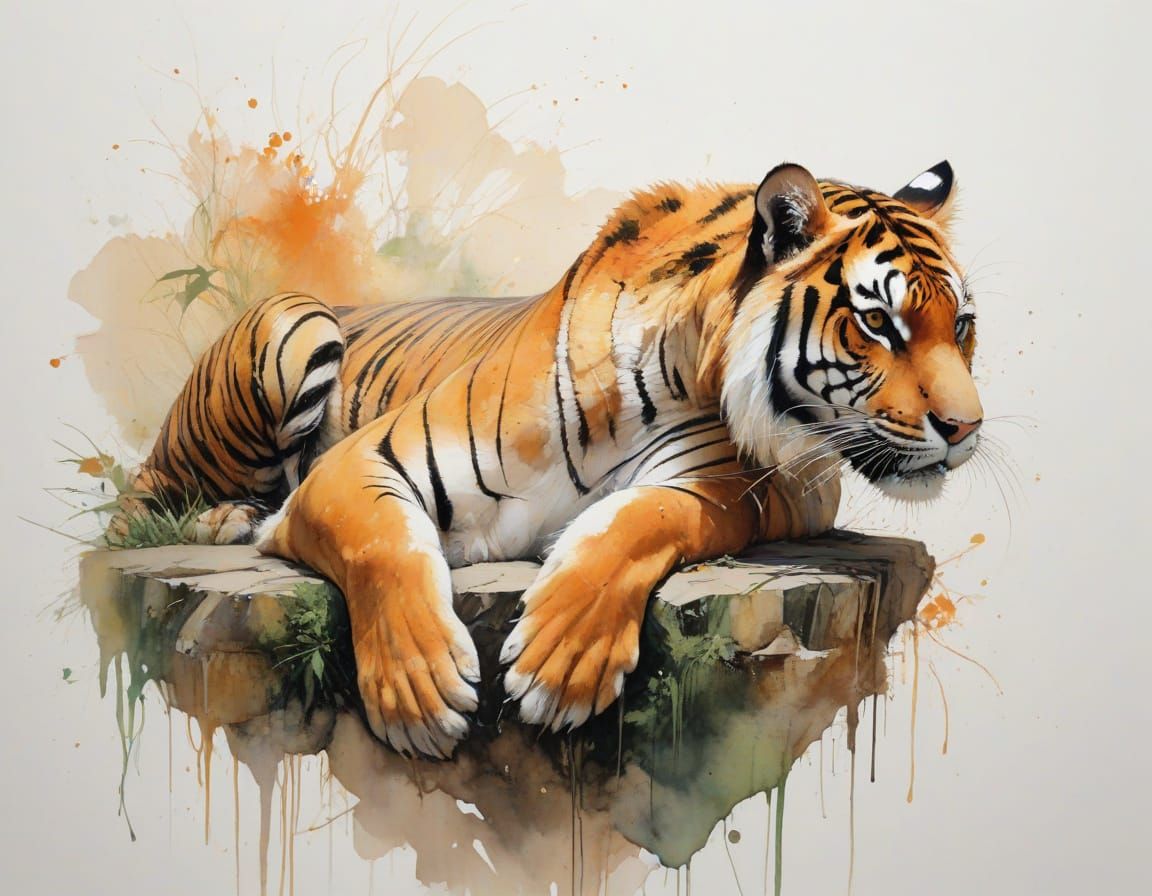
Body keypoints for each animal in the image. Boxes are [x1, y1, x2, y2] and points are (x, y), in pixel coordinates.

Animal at [120, 161, 982, 758]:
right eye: (880, 323)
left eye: (963, 325)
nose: (966, 426)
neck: (682, 362)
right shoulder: (359, 463)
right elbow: (384, 543)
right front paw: (418, 689)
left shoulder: (751, 487)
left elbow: (638, 521)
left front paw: (558, 664)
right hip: (294, 324)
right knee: (139, 499)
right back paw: (224, 520)